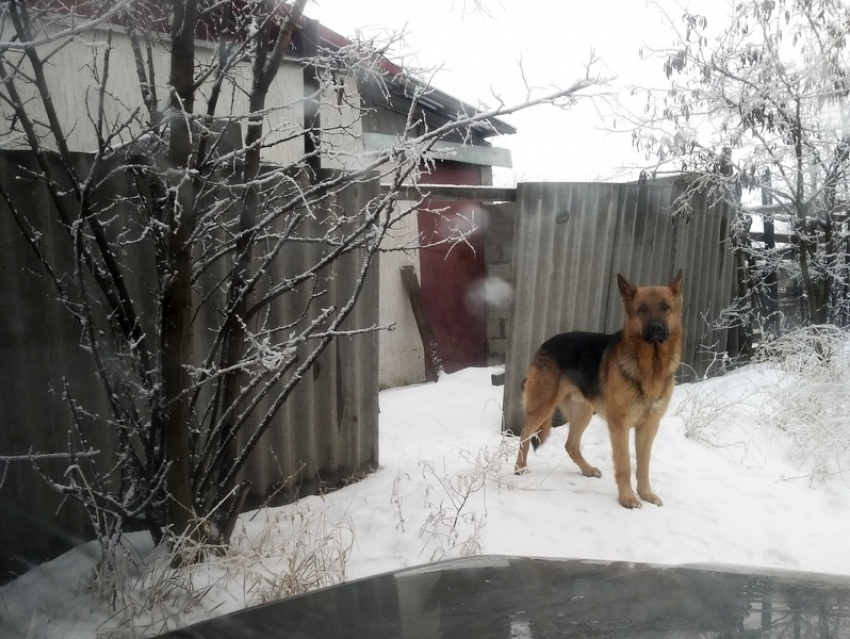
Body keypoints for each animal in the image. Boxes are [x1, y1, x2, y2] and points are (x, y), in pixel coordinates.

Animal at [510, 270, 684, 510]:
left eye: (666, 307)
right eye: (642, 309)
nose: (656, 328)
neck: (651, 367)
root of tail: (545, 344)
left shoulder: (648, 427)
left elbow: (643, 465)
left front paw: (646, 494)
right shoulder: (620, 426)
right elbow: (624, 466)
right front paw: (627, 498)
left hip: (583, 413)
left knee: (570, 444)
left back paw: (587, 469)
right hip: (542, 406)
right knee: (525, 434)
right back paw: (519, 468)